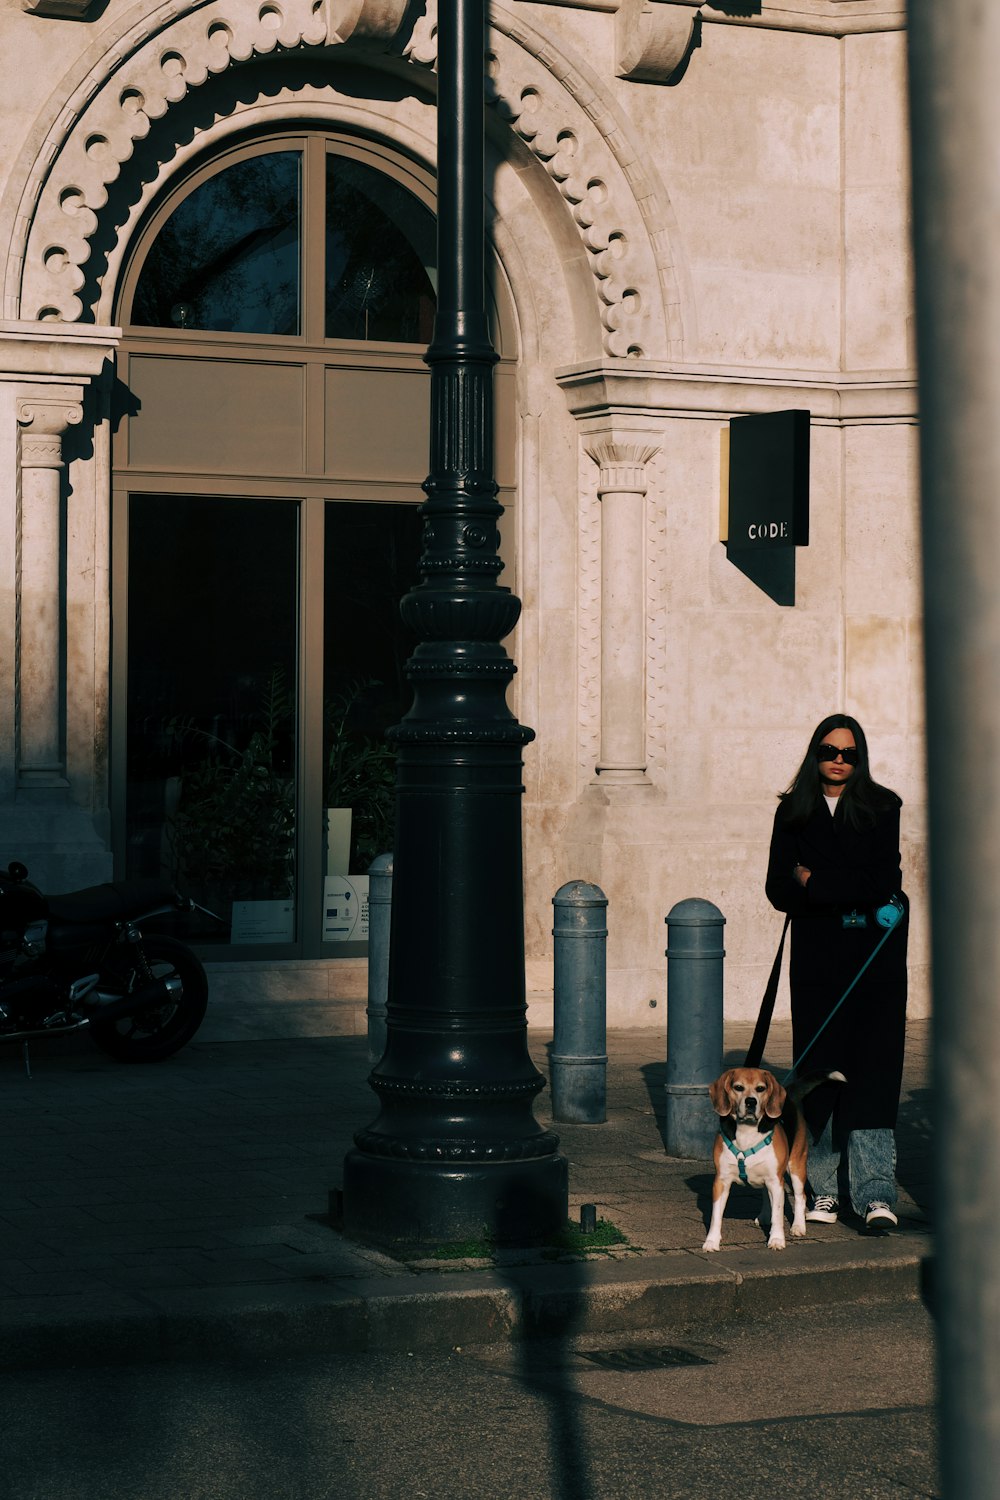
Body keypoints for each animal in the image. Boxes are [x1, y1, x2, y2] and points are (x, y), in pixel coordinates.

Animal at [704, 1068, 845, 1254]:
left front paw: (777, 1239)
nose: (751, 1102)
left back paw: (798, 1226)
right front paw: (711, 1241)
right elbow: (716, 1215)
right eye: (738, 1087)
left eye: (760, 1088)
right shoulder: (721, 1181)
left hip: (796, 1167)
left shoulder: (776, 1182)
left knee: (800, 1197)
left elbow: (778, 1215)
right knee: (765, 1192)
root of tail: (789, 1097)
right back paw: (765, 1215)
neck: (747, 1132)